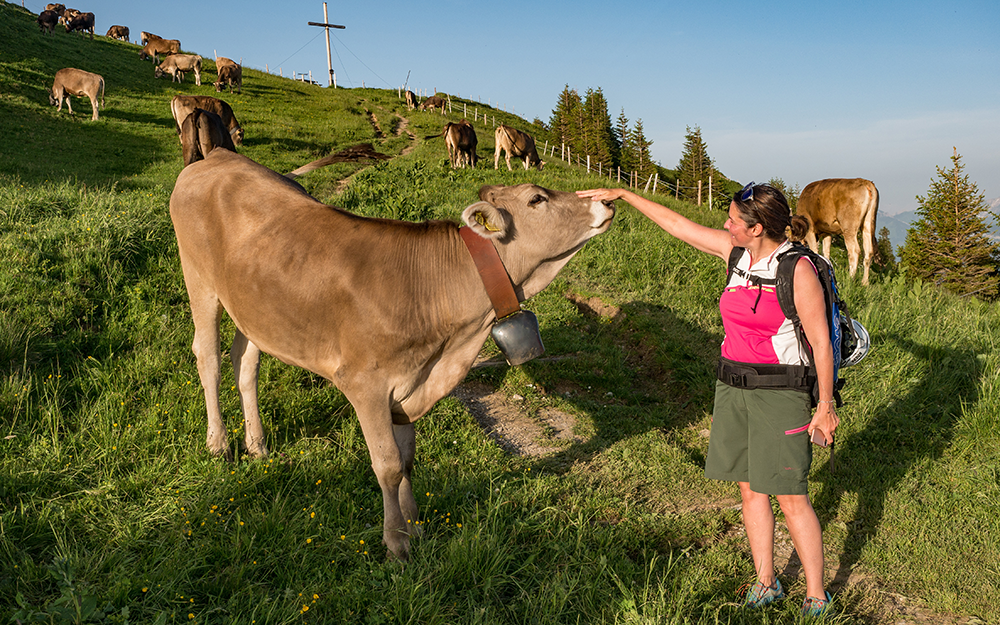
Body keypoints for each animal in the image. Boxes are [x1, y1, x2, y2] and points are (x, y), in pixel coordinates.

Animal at [168, 152, 612, 560]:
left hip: (252, 306)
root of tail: (217, 157)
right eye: (537, 198)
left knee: (245, 363)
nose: (606, 201)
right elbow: (388, 464)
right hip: (199, 281)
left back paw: (257, 445)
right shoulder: (365, 384)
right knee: (208, 358)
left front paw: (415, 526)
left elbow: (408, 460)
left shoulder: (411, 381)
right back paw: (219, 444)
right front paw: (396, 542)